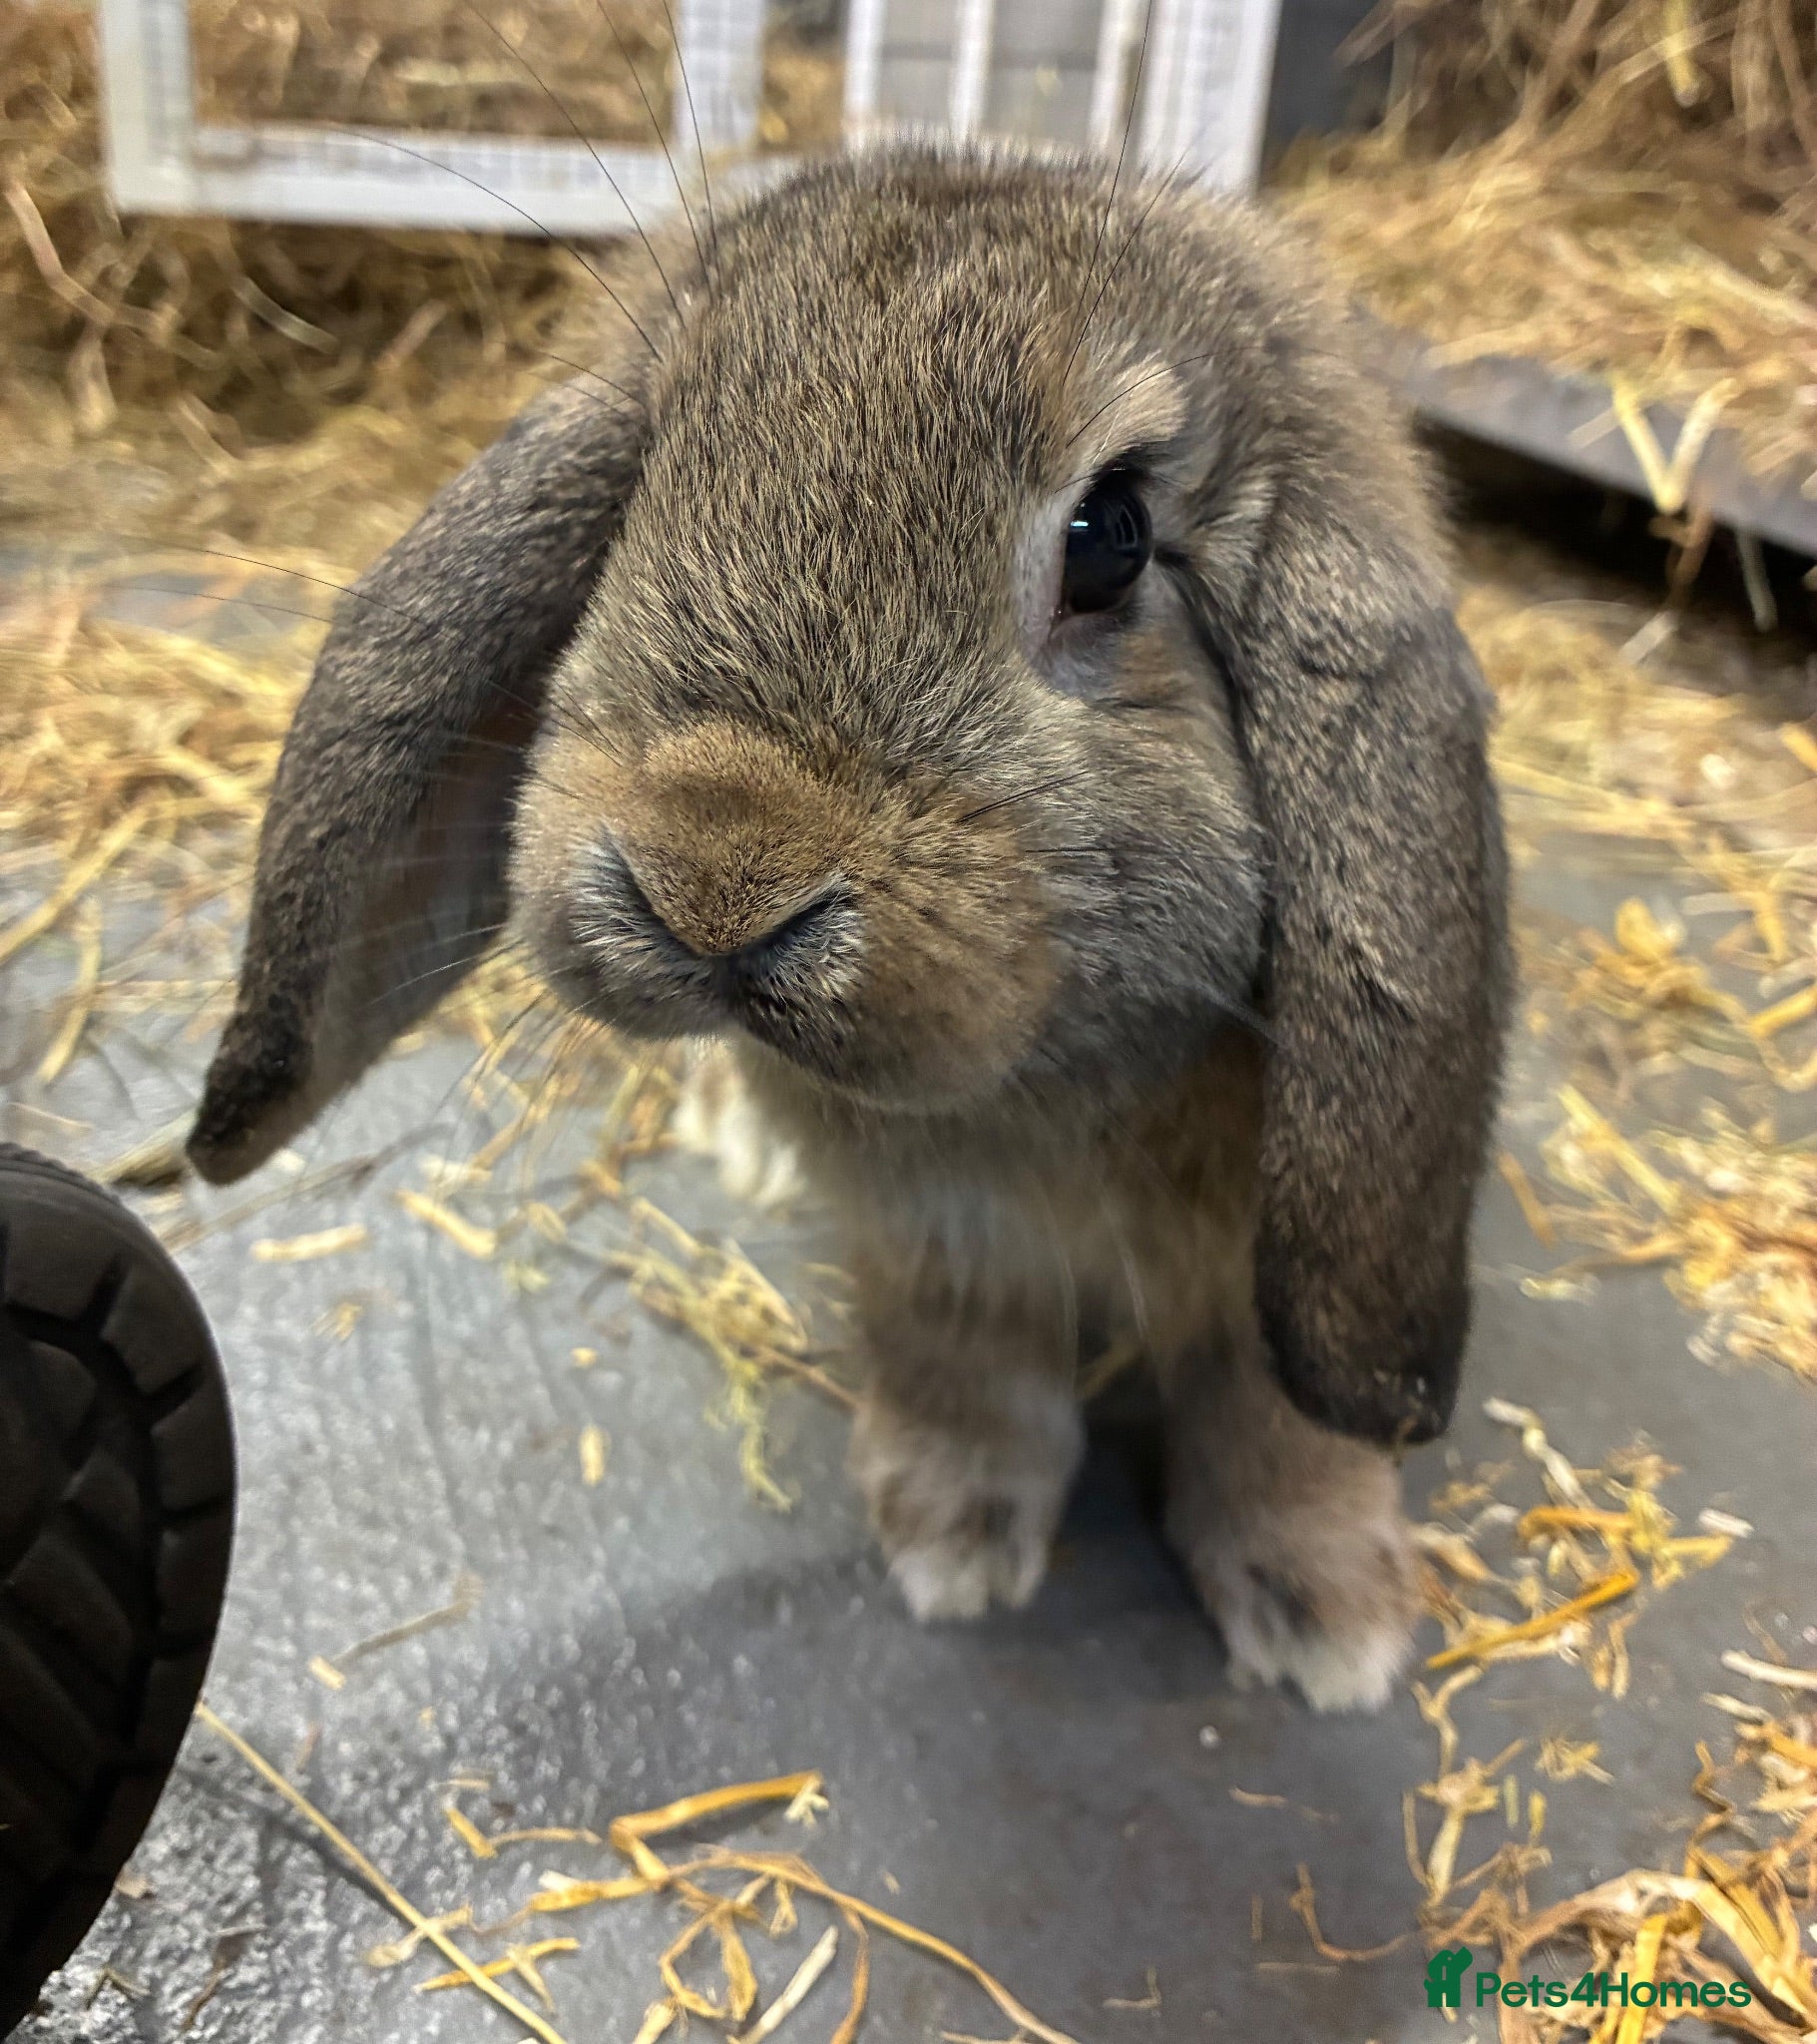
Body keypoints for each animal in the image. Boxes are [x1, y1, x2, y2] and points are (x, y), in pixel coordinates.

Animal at [187, 141, 1510, 1713]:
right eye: (638, 489)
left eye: (1111, 539)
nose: (713, 880)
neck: (1045, 1086)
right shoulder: (933, 1242)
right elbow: (964, 1366)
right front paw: (952, 1537)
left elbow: (1275, 1416)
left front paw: (1325, 1624)